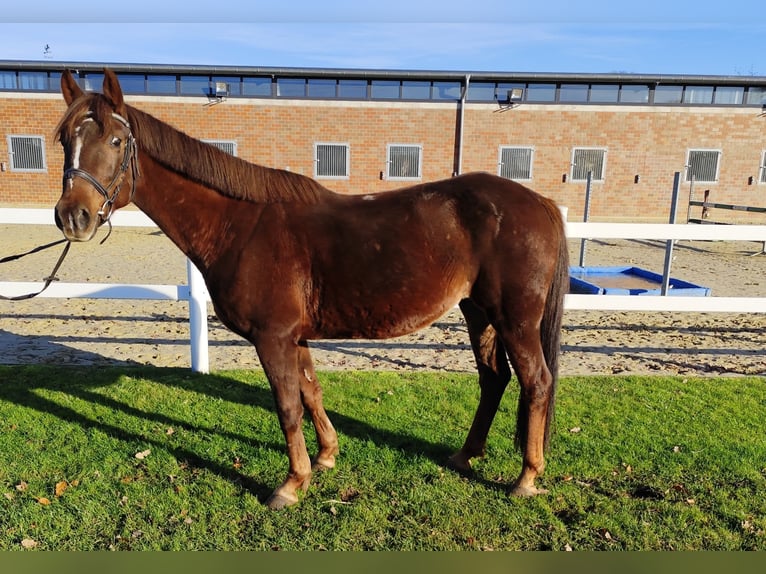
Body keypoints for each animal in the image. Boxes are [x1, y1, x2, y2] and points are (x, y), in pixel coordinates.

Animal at [54, 68, 568, 512]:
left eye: (117, 140)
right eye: (65, 140)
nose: (73, 216)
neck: (240, 225)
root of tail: (540, 202)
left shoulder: (273, 337)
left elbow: (287, 405)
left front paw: (291, 483)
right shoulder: (295, 336)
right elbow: (310, 392)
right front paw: (325, 457)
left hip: (515, 320)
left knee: (536, 382)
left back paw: (526, 477)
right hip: (478, 312)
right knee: (494, 379)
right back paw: (466, 455)